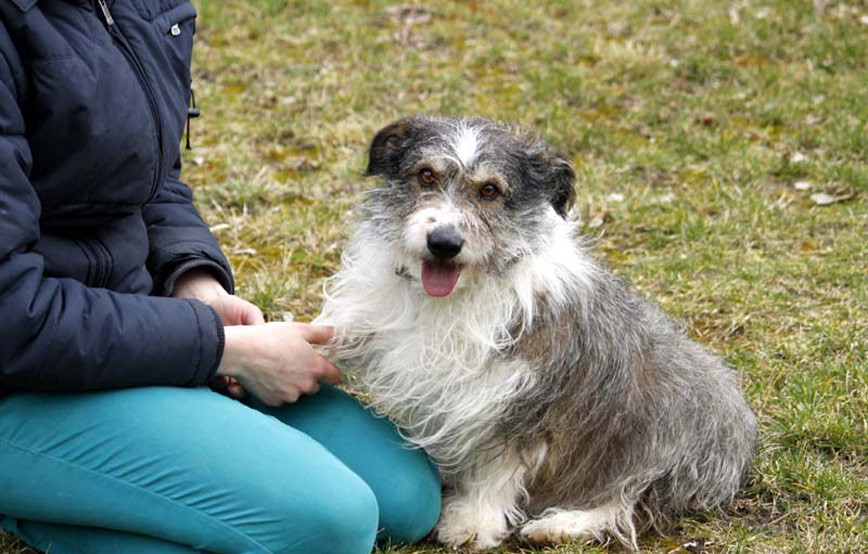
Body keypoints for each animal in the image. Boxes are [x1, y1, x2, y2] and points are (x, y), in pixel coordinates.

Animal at [316, 116, 756, 548]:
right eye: (426, 175)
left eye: (490, 190)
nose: (443, 242)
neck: (452, 297)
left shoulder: (522, 398)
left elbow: (500, 466)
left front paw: (475, 522)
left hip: (662, 436)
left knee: (626, 506)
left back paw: (560, 526)